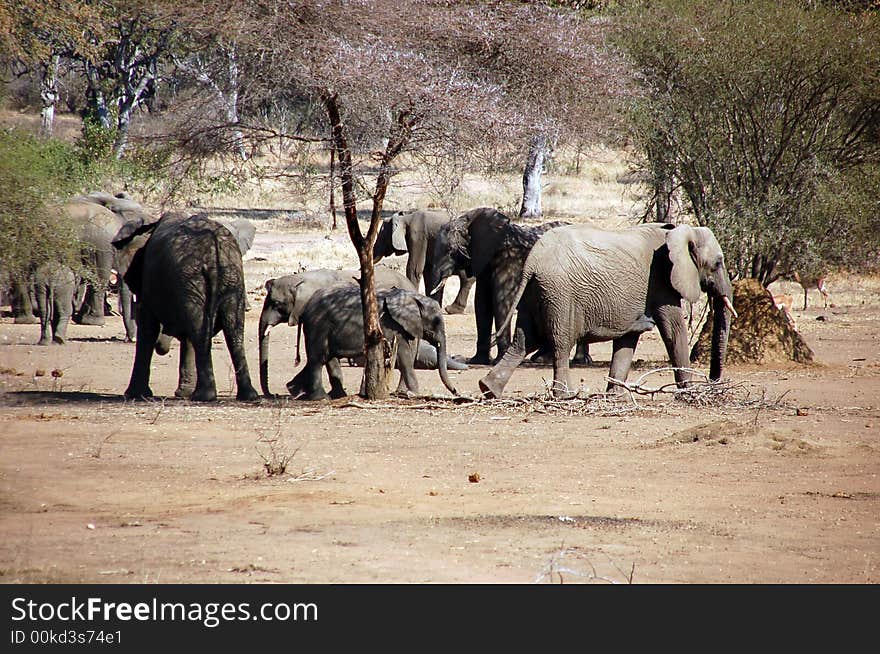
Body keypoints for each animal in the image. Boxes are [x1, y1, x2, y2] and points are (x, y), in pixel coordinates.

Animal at [111, 213, 260, 402]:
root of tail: (214, 247)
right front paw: (183, 393)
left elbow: (148, 328)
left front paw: (135, 395)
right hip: (230, 276)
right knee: (233, 329)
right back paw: (247, 396)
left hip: (193, 277)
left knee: (200, 330)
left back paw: (203, 396)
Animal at [288, 286, 458, 400]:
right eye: (436, 321)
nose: (456, 391)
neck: (413, 297)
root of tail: (304, 309)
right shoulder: (391, 325)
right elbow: (404, 356)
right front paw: (414, 393)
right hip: (318, 326)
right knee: (318, 360)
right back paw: (321, 398)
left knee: (324, 358)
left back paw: (297, 391)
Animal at [428, 208, 592, 366]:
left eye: (450, 251)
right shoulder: (484, 261)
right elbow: (481, 303)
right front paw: (478, 361)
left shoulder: (509, 259)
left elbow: (501, 300)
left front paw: (499, 360)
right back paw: (547, 359)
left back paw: (570, 360)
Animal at [478, 224, 740, 400]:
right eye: (718, 263)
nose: (714, 382)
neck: (682, 230)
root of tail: (532, 261)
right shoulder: (662, 282)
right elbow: (673, 331)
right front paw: (689, 393)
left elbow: (628, 341)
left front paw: (616, 396)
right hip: (559, 294)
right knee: (560, 343)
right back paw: (566, 395)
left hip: (534, 292)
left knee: (524, 340)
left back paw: (488, 389)